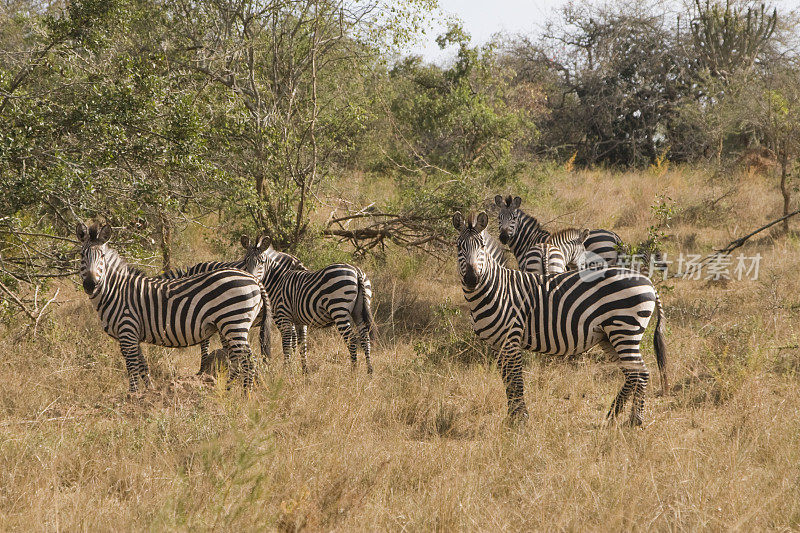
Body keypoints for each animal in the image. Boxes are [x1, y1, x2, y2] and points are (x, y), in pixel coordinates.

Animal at [450, 211, 668, 424]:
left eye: (481, 246)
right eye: (459, 246)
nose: (472, 279)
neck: (496, 289)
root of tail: (648, 281)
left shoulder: (511, 338)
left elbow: (516, 380)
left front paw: (520, 419)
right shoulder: (497, 344)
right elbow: (507, 380)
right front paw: (511, 417)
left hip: (625, 330)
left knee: (641, 373)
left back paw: (633, 420)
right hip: (610, 336)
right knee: (633, 374)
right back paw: (614, 416)